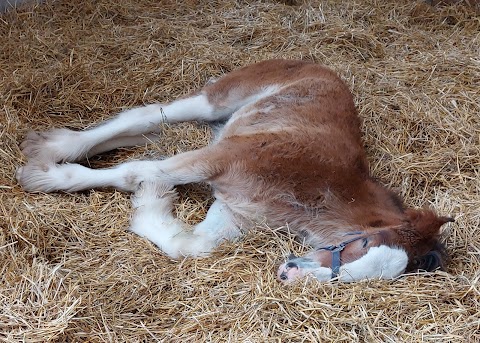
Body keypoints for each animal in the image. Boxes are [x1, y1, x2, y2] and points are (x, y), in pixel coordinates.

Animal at [15, 59, 452, 284]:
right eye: (361, 243)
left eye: (382, 278)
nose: (289, 273)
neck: (313, 193)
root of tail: (312, 62)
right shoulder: (220, 158)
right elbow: (134, 172)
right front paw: (48, 177)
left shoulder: (235, 212)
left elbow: (189, 245)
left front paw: (151, 203)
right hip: (217, 101)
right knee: (147, 115)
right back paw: (47, 151)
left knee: (147, 129)